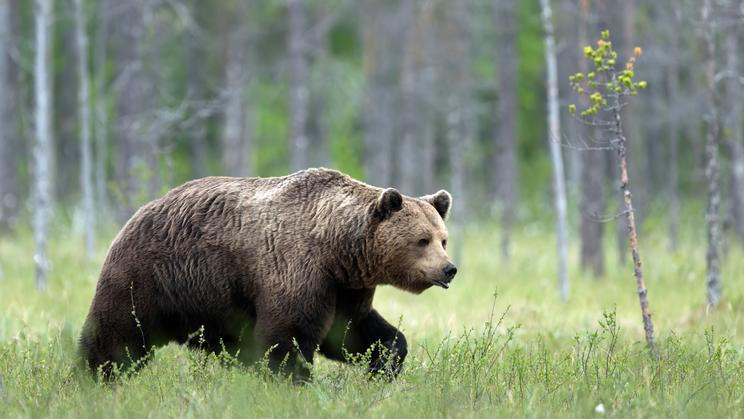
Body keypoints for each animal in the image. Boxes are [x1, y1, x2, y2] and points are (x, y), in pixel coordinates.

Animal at [79, 168, 457, 380]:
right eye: (421, 240)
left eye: (443, 239)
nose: (449, 269)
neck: (338, 248)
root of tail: (139, 212)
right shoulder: (296, 267)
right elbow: (287, 335)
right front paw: (292, 381)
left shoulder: (345, 287)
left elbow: (352, 331)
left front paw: (384, 364)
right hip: (150, 275)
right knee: (117, 335)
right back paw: (94, 377)